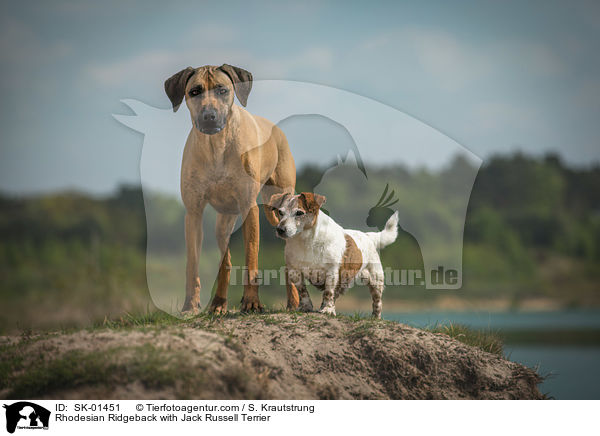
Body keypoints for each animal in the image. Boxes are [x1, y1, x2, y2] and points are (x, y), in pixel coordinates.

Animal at [164, 63, 298, 312]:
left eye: (222, 90)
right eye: (194, 91)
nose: (209, 116)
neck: (216, 146)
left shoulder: (249, 208)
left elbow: (251, 257)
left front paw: (252, 302)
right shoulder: (194, 212)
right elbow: (193, 263)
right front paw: (191, 304)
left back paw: (294, 301)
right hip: (224, 222)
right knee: (224, 259)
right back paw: (218, 303)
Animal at [268, 192, 398, 318]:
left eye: (299, 212)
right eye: (280, 212)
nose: (280, 229)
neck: (305, 240)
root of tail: (368, 236)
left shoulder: (332, 271)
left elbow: (328, 292)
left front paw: (327, 310)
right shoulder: (294, 272)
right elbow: (303, 291)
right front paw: (306, 307)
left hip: (375, 280)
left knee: (377, 302)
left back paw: (375, 317)